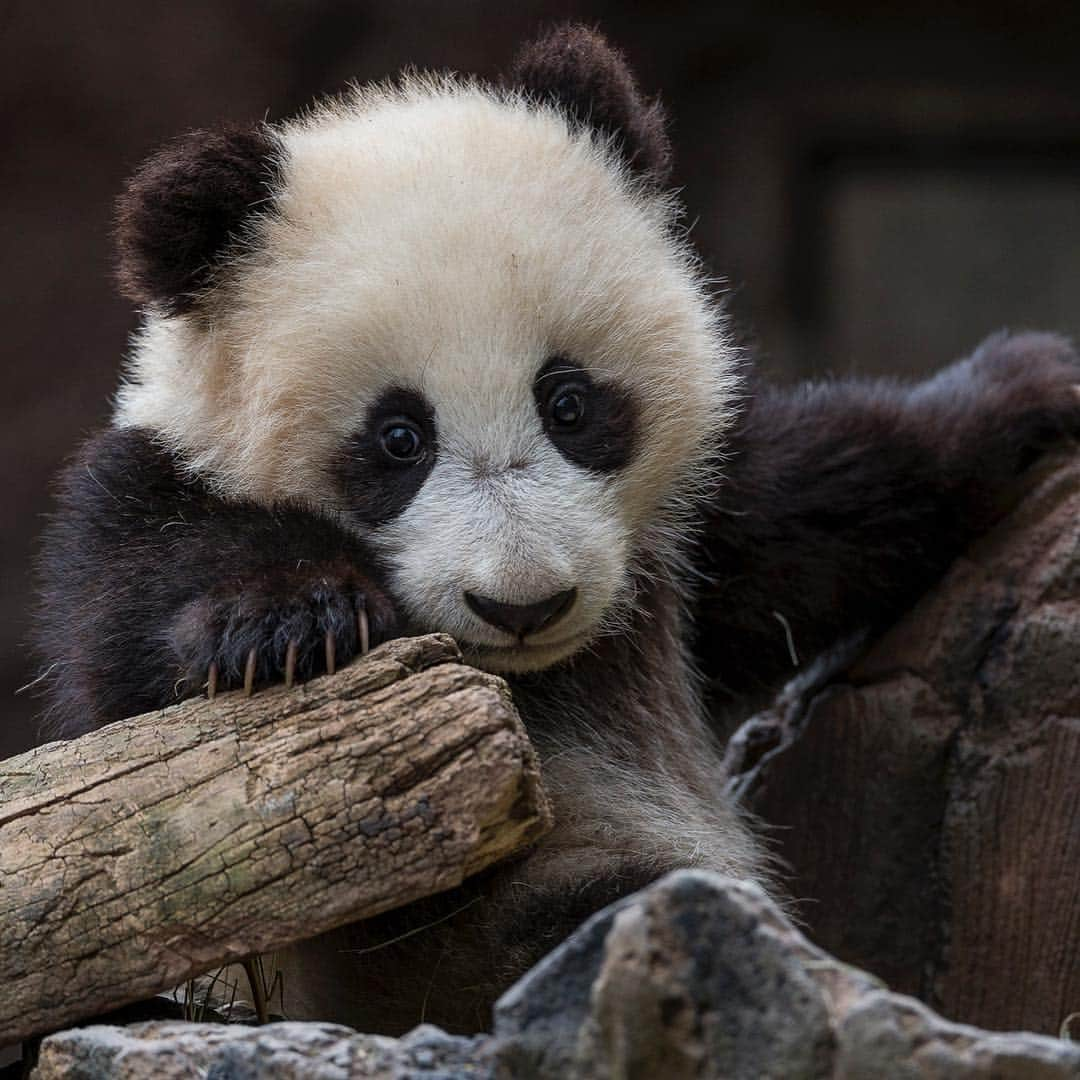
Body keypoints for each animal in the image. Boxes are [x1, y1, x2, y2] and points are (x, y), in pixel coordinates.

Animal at [33, 27, 1080, 1036]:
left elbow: (820, 502)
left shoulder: (688, 534)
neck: (525, 676)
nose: (524, 604)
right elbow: (130, 679)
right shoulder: (143, 490)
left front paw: (1029, 388)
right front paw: (291, 623)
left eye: (568, 402)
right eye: (399, 438)